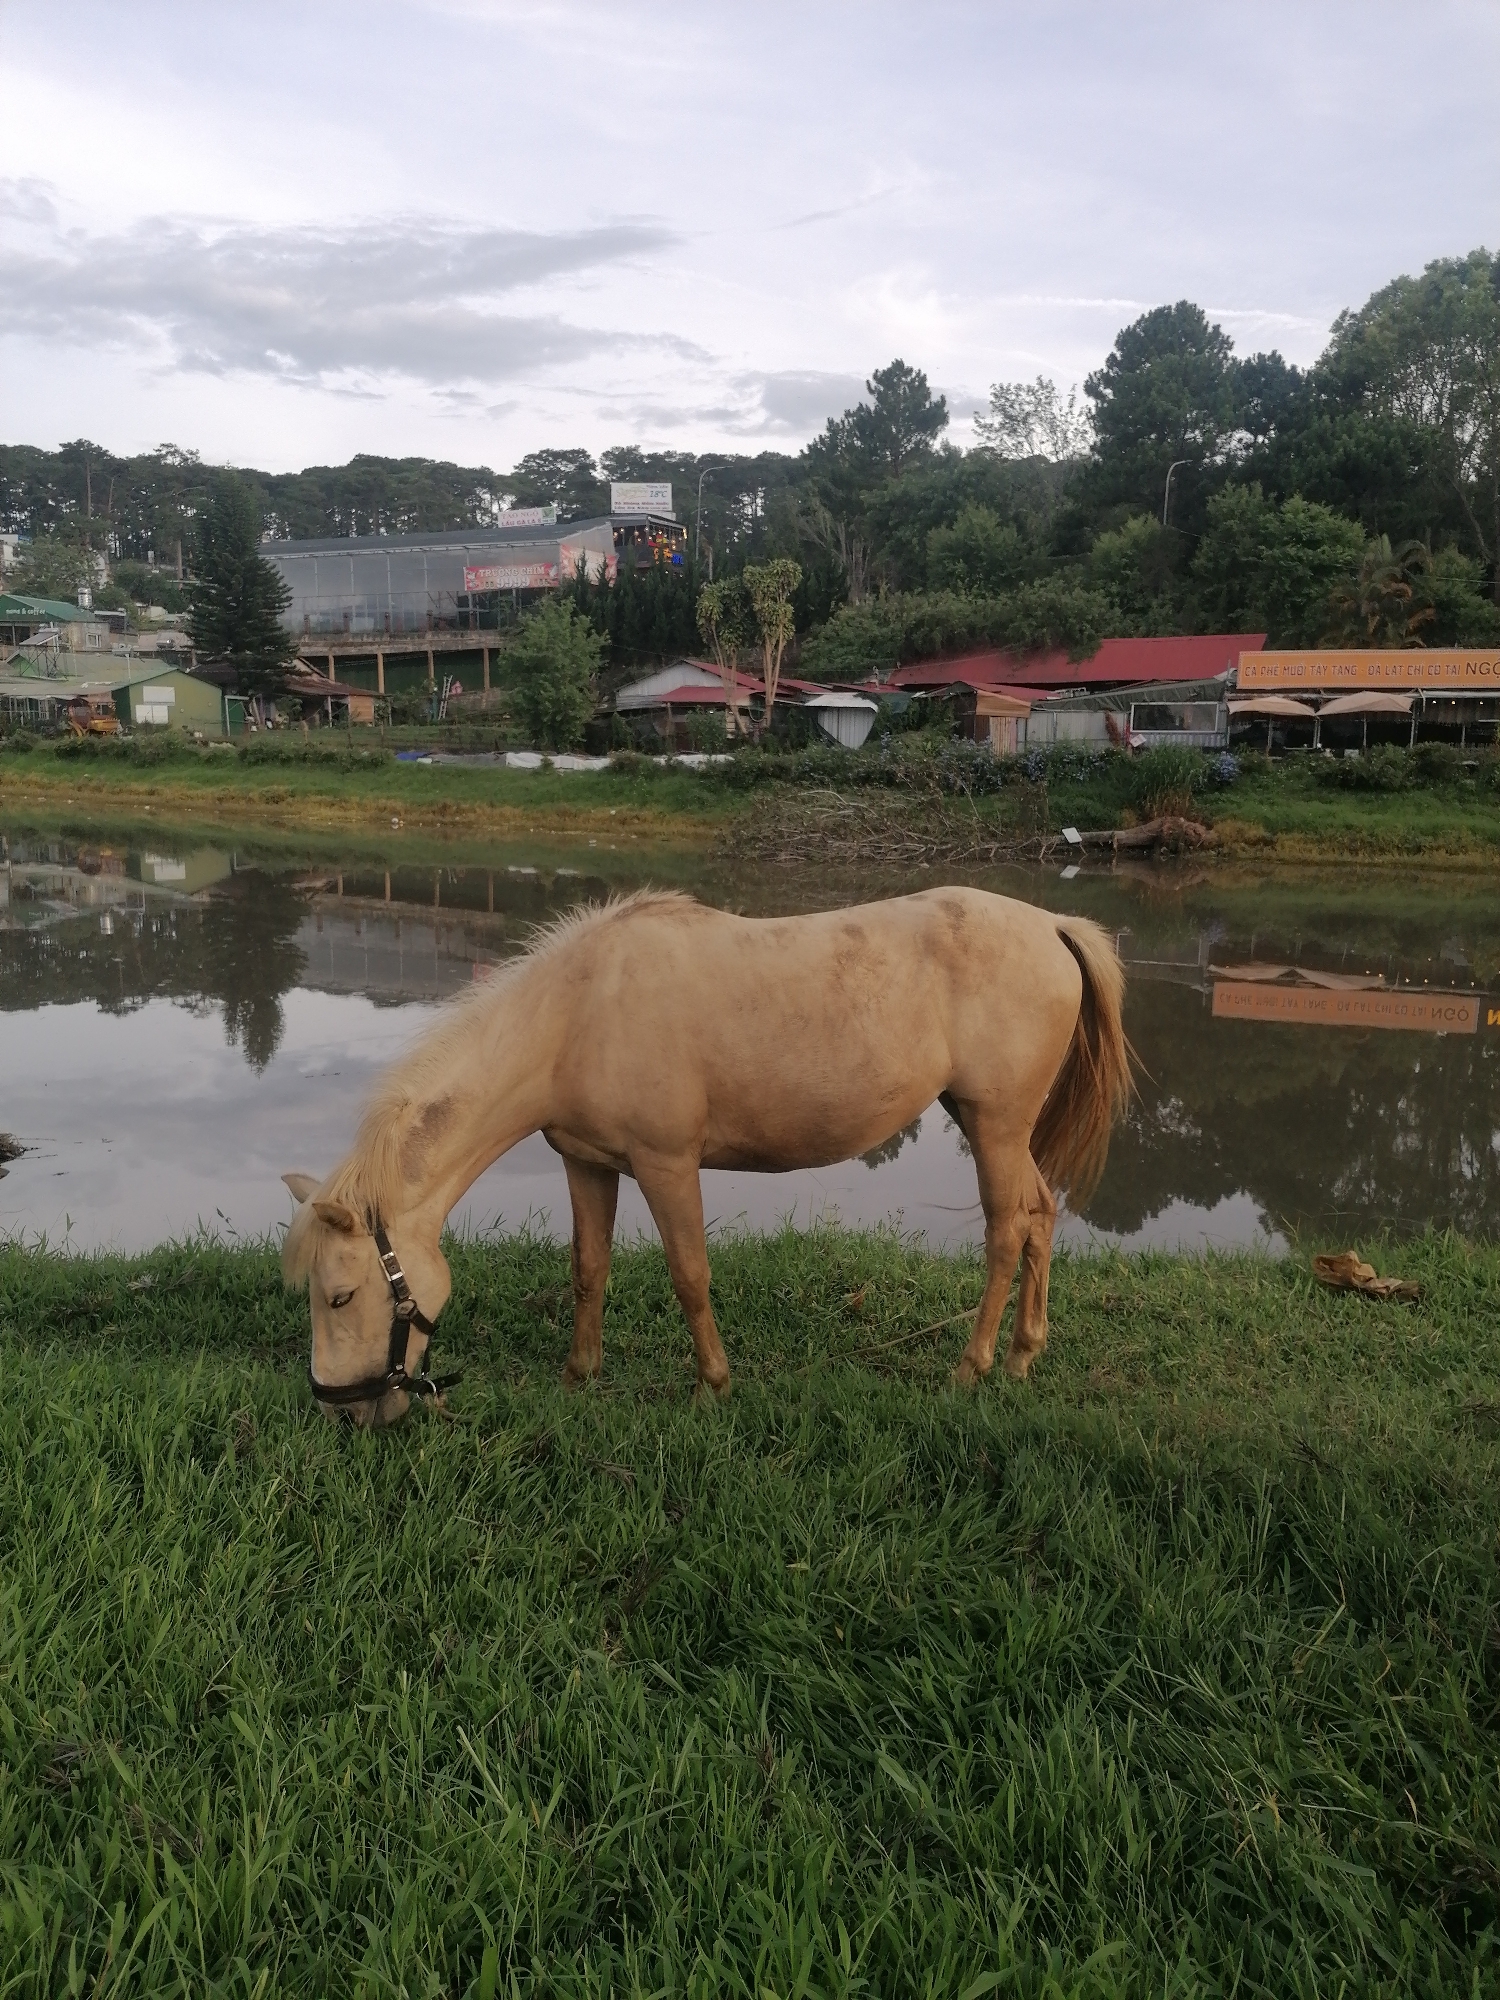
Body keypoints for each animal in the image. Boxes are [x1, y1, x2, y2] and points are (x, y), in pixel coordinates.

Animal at [282, 887, 1131, 1425]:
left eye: (339, 1297)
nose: (345, 1414)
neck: (577, 1017)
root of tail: (1052, 925)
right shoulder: (586, 1163)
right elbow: (588, 1269)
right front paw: (578, 1377)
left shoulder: (666, 1164)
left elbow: (690, 1275)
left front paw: (711, 1387)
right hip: (997, 1127)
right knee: (1040, 1216)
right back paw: (1022, 1356)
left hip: (995, 1124)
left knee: (1006, 1229)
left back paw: (971, 1368)